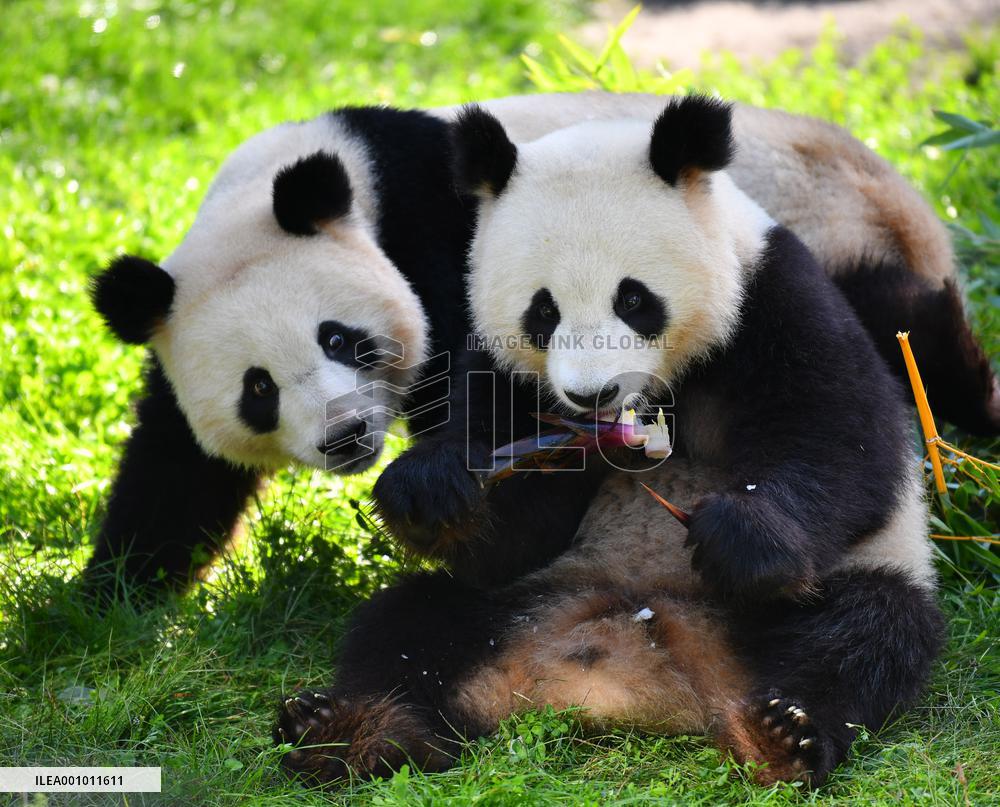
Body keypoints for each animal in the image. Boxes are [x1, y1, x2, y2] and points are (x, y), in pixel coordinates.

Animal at [87, 92, 995, 595]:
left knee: (913, 342)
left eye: (340, 338)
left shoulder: (437, 237)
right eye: (258, 388)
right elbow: (176, 471)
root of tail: (905, 192)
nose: (345, 436)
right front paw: (107, 599)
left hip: (838, 228)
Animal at [274, 100, 944, 788]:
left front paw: (741, 535)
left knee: (865, 635)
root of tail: (636, 674)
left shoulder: (772, 293)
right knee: (406, 626)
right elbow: (511, 530)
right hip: (519, 603)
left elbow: (846, 440)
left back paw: (783, 735)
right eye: (543, 312)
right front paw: (431, 491)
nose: (590, 395)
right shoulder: (500, 369)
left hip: (810, 600)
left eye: (633, 298)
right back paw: (353, 732)